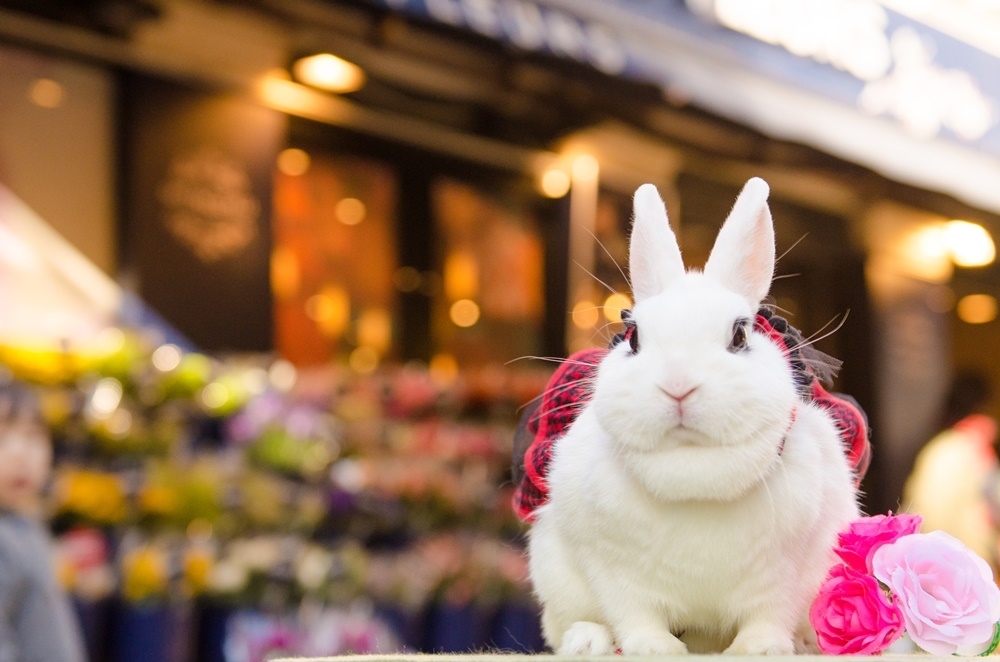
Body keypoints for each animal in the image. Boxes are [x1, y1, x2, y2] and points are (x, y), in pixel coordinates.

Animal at [528, 179, 864, 656]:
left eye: (739, 335)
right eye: (633, 337)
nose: (678, 384)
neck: (694, 475)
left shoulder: (788, 573)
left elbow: (770, 614)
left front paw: (761, 649)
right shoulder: (614, 571)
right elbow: (633, 613)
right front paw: (653, 648)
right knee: (567, 623)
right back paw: (587, 641)